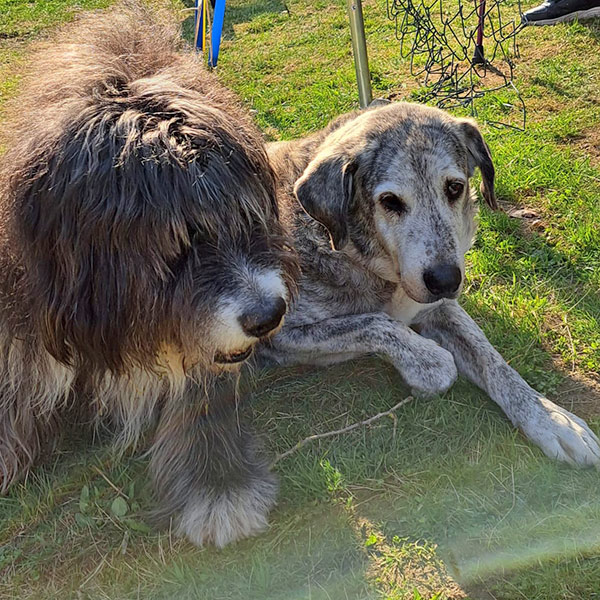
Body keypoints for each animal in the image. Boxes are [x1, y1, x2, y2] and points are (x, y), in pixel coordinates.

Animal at [260, 102, 600, 468]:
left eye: (454, 187)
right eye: (389, 201)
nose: (445, 280)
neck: (365, 260)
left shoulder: (442, 308)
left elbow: (492, 359)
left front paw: (550, 419)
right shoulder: (272, 332)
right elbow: (376, 324)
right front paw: (427, 362)